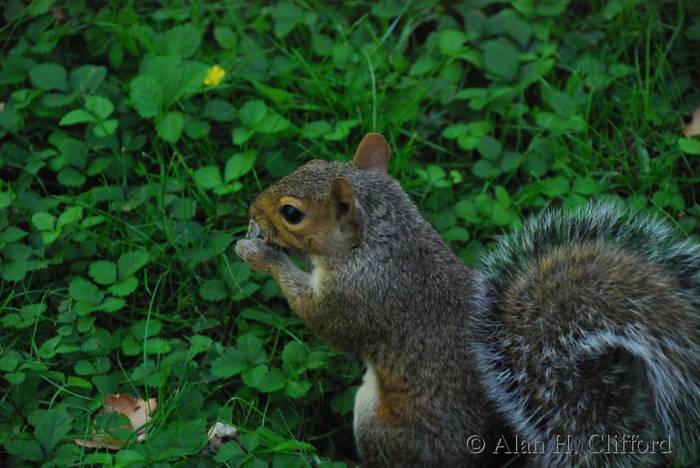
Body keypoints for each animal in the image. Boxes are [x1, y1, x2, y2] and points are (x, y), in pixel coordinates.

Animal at [235, 133, 700, 468]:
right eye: (309, 164)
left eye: (292, 213)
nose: (251, 208)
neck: (382, 241)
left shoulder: (358, 296)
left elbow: (323, 323)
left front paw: (262, 255)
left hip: (378, 423)